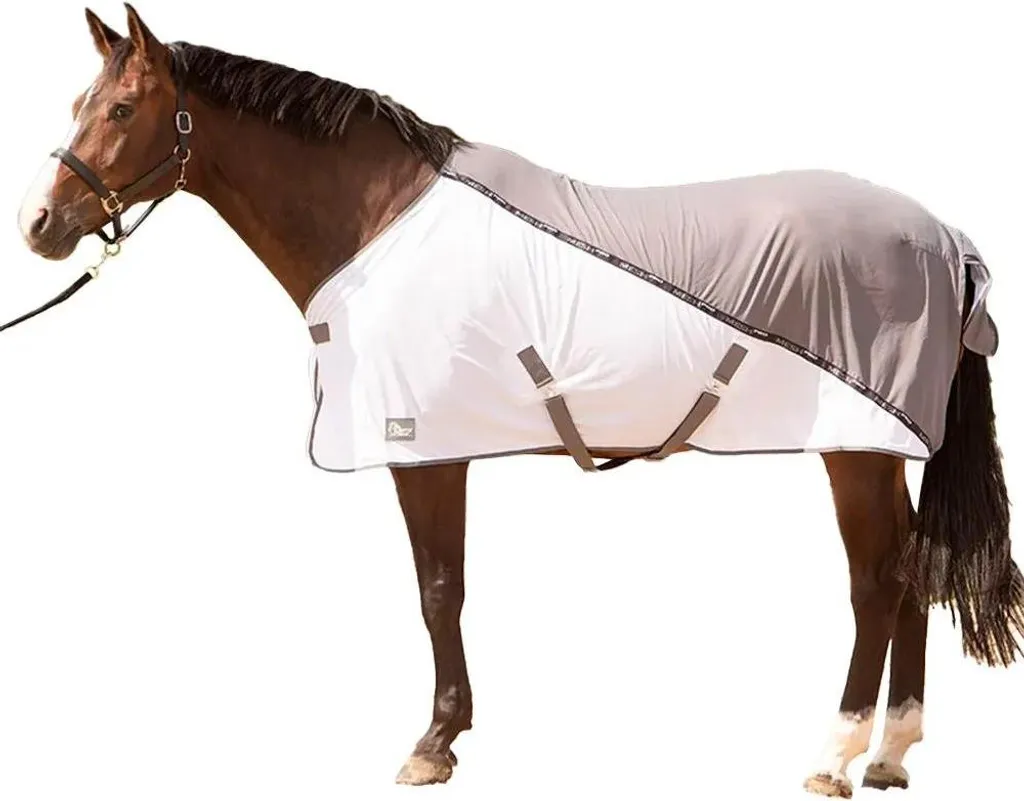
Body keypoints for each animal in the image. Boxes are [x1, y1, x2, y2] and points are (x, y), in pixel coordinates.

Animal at [12, 5, 1023, 797]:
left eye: (122, 108)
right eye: (77, 107)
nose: (38, 226)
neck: (379, 224)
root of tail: (945, 237)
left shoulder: (423, 447)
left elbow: (438, 589)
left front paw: (433, 742)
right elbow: (445, 589)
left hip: (854, 447)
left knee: (878, 580)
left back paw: (834, 753)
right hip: (879, 449)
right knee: (913, 572)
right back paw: (891, 752)